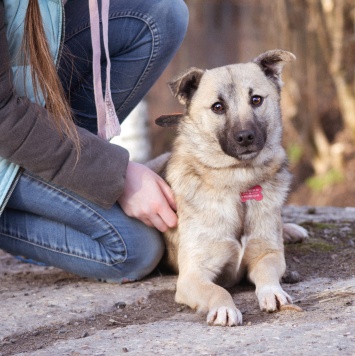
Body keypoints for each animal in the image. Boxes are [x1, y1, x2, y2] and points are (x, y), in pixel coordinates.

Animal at [147, 49, 308, 326]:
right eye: (218, 107)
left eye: (256, 99)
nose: (245, 137)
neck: (238, 182)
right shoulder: (193, 275)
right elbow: (218, 290)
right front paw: (224, 308)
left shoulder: (268, 255)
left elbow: (267, 275)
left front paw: (274, 292)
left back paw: (290, 230)